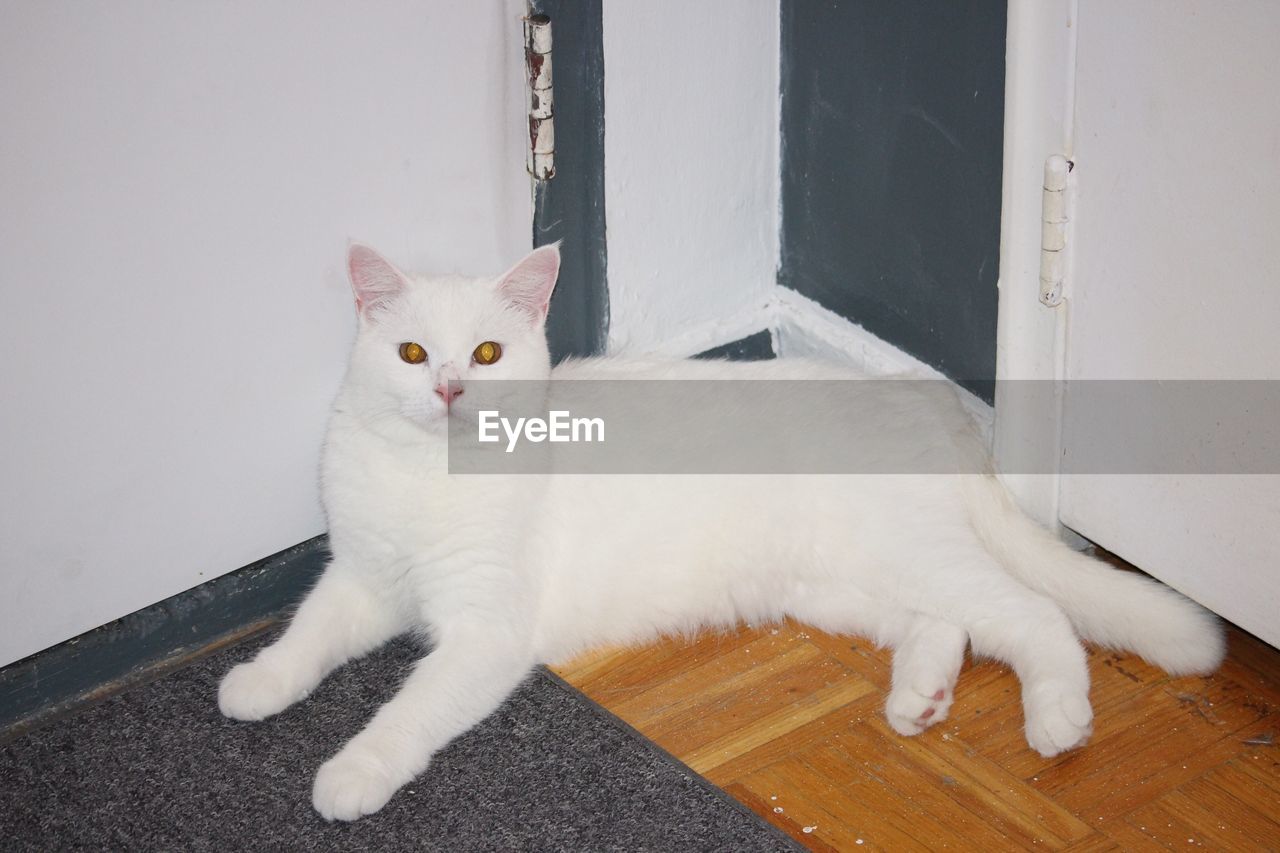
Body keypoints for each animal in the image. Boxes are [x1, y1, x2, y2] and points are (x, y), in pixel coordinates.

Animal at [215, 239, 1223, 819]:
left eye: (489, 354)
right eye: (413, 352)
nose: (450, 389)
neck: (430, 478)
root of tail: (933, 406)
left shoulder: (483, 633)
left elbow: (407, 708)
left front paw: (352, 773)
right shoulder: (362, 577)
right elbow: (307, 633)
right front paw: (257, 682)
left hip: (903, 550)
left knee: (1030, 614)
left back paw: (1057, 716)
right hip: (840, 578)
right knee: (952, 624)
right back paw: (922, 698)